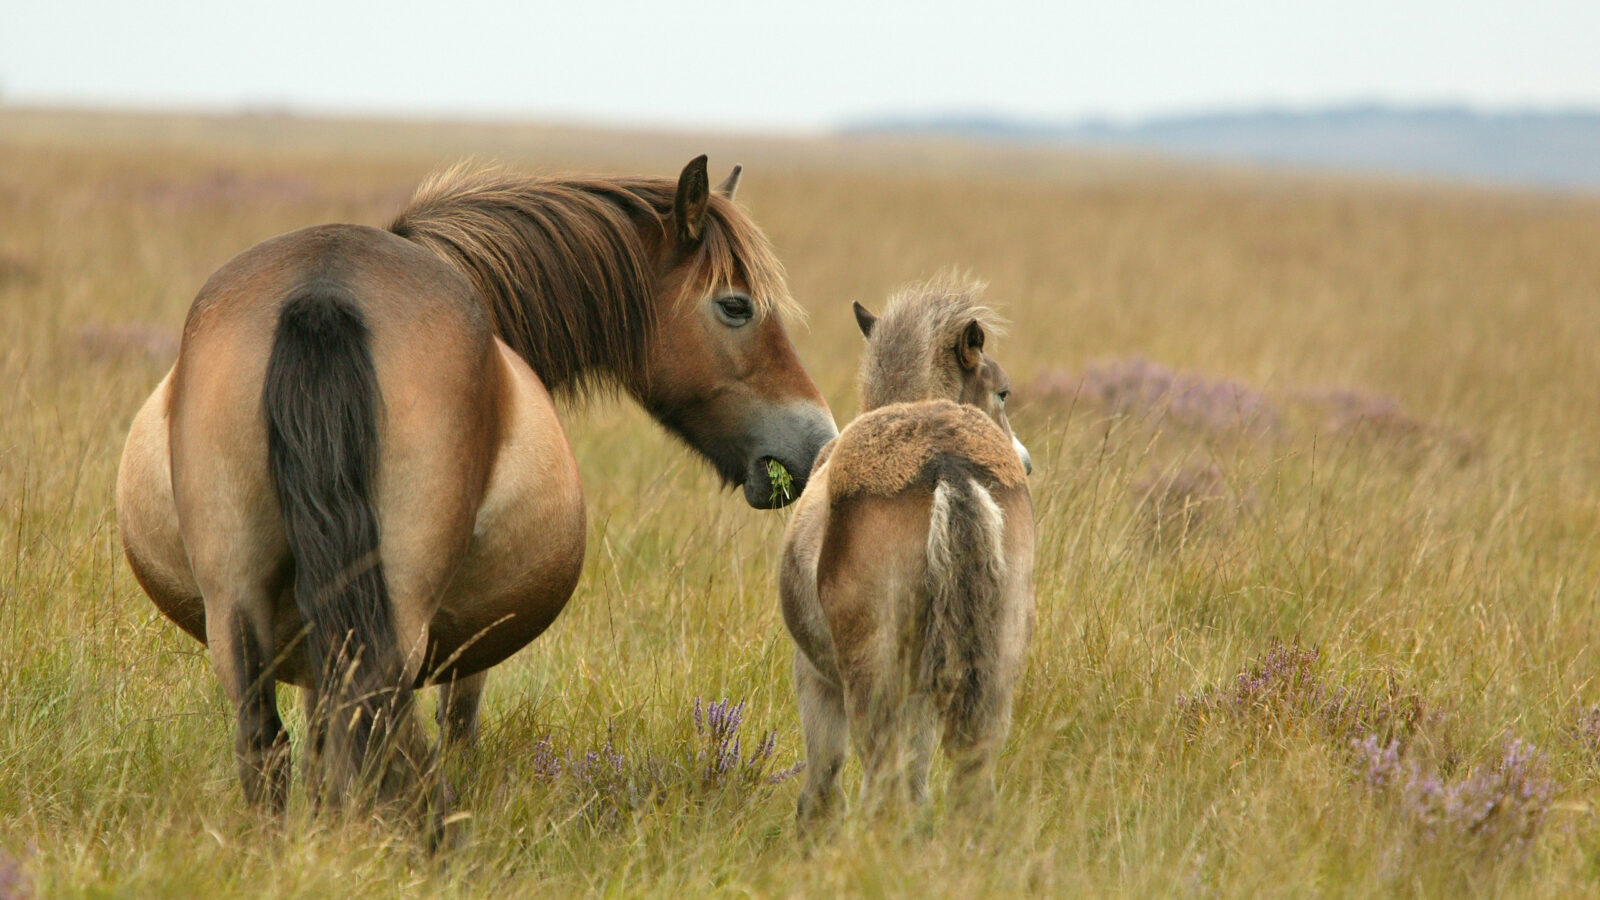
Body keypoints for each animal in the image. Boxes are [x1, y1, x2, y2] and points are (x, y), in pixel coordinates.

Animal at [115, 156, 837, 820]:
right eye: (736, 305)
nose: (818, 441)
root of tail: (324, 290)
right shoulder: (465, 647)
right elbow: (456, 727)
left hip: (236, 600)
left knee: (269, 744)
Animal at [777, 277, 1034, 830]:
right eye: (1002, 392)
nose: (1025, 461)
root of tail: (947, 463)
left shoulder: (815, 677)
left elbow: (824, 776)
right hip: (993, 670)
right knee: (970, 775)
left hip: (873, 680)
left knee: (883, 781)